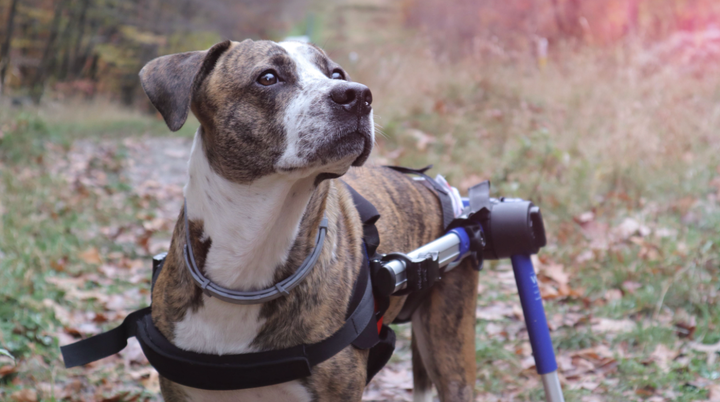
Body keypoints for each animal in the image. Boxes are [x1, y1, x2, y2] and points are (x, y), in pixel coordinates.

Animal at [139, 38, 478, 402]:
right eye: (268, 77)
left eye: (337, 74)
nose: (358, 95)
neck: (249, 258)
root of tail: (433, 187)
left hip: (450, 345)